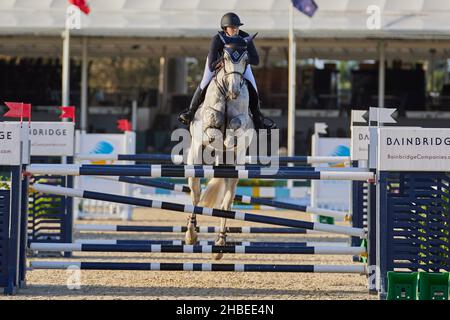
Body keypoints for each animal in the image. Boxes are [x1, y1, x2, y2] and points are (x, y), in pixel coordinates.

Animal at [185, 37, 255, 260]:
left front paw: (228, 141)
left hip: (234, 174)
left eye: (246, 59)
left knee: (226, 204)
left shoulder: (242, 122)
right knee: (196, 194)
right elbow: (214, 132)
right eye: (225, 57)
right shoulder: (207, 126)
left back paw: (220, 243)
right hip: (194, 162)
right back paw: (191, 235)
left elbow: (235, 130)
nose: (234, 91)